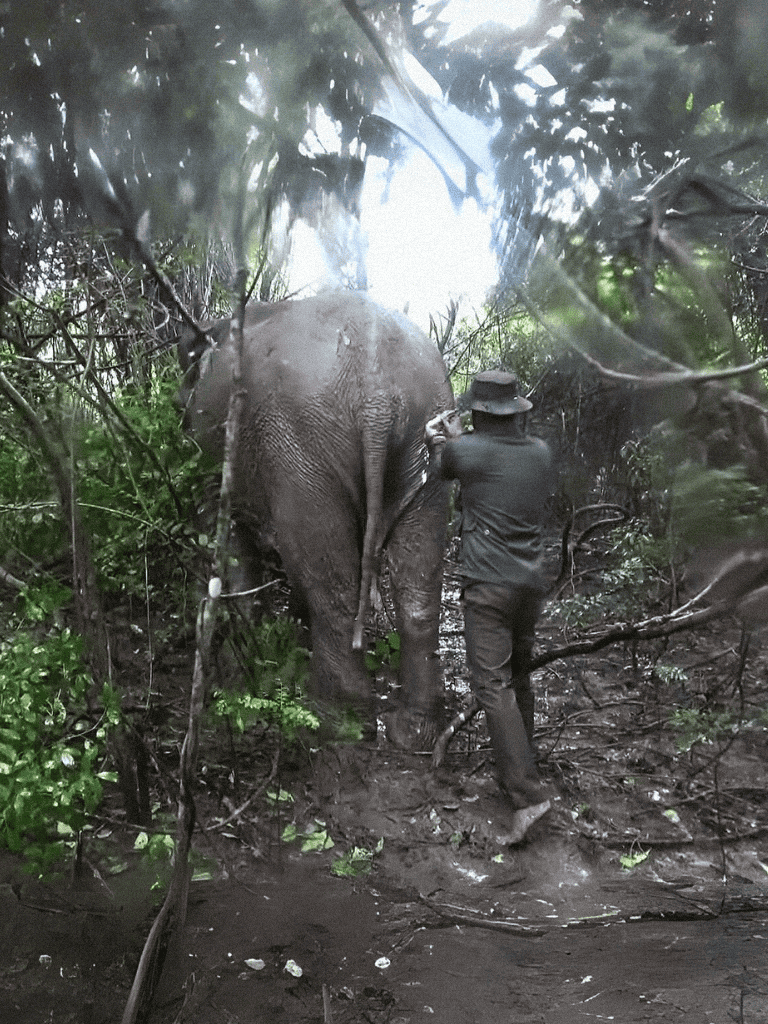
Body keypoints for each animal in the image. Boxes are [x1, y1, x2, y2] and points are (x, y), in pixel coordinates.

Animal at [179, 291, 453, 746]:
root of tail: (377, 393)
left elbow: (230, 542)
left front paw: (237, 673)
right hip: (428, 433)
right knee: (419, 580)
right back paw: (413, 732)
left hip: (301, 446)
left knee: (327, 577)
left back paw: (336, 720)